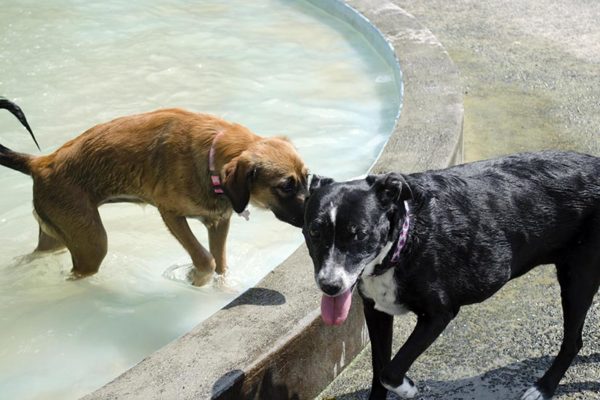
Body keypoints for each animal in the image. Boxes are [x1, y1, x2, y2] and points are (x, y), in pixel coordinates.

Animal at [0, 101, 308, 286]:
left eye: (308, 178)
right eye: (286, 186)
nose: (313, 217)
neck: (211, 154)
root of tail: (39, 163)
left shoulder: (219, 222)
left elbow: (220, 263)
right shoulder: (171, 214)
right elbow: (204, 259)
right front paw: (195, 278)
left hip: (58, 234)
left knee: (35, 254)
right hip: (92, 243)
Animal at [304, 151, 600, 400]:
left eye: (359, 234)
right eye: (313, 231)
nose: (330, 286)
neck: (405, 240)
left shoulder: (438, 315)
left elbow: (390, 371)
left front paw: (408, 388)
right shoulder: (376, 311)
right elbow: (379, 368)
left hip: (578, 279)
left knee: (573, 341)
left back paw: (543, 388)